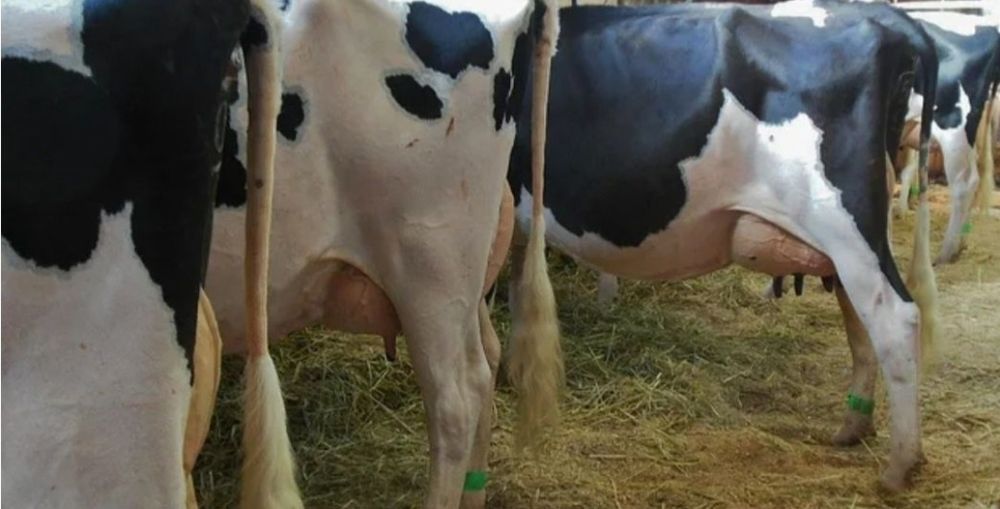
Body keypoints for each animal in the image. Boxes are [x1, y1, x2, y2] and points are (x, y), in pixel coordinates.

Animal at [505, 0, 939, 491]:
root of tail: (889, 20)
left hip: (845, 219)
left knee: (894, 318)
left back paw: (901, 464)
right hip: (853, 230)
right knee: (859, 315)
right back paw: (854, 426)